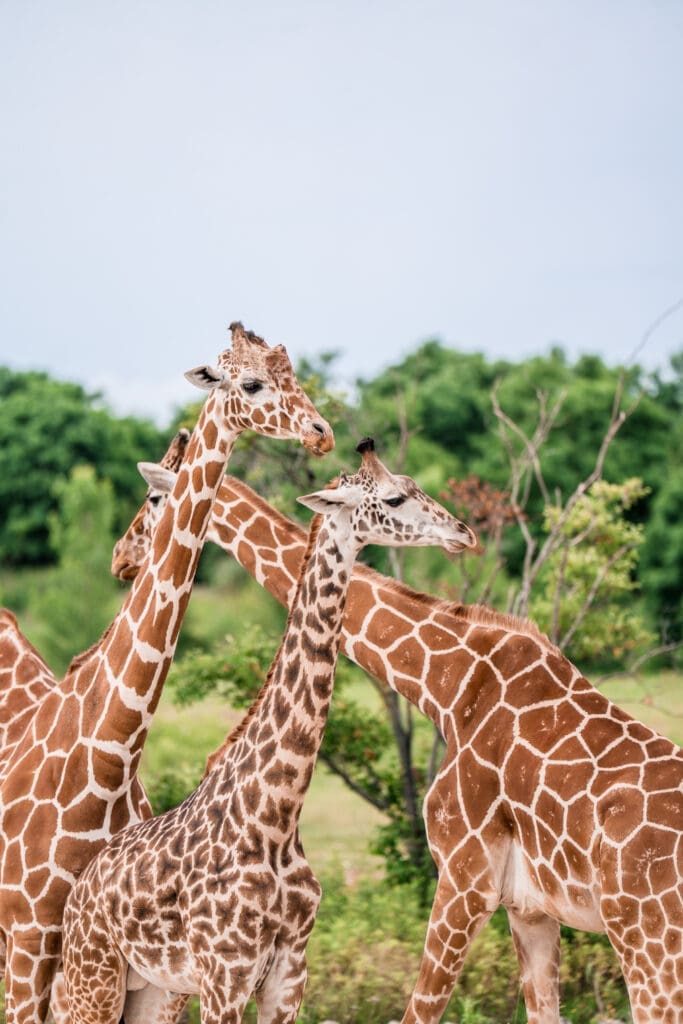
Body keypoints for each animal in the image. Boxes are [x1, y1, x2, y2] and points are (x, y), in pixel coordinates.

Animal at [0, 322, 334, 1024]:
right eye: (251, 382)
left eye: (293, 375)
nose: (322, 432)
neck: (109, 758)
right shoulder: (30, 934)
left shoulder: (151, 969)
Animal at [61, 438, 479, 1024]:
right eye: (395, 497)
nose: (461, 531)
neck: (277, 814)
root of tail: (77, 895)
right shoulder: (225, 974)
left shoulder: (289, 971)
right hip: (93, 981)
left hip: (152, 989)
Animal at [111, 467, 683, 1024]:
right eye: (397, 493)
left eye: (152, 497)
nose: (121, 557)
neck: (451, 689)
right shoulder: (530, 907)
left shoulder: (465, 875)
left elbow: (418, 1011)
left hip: (648, 946)